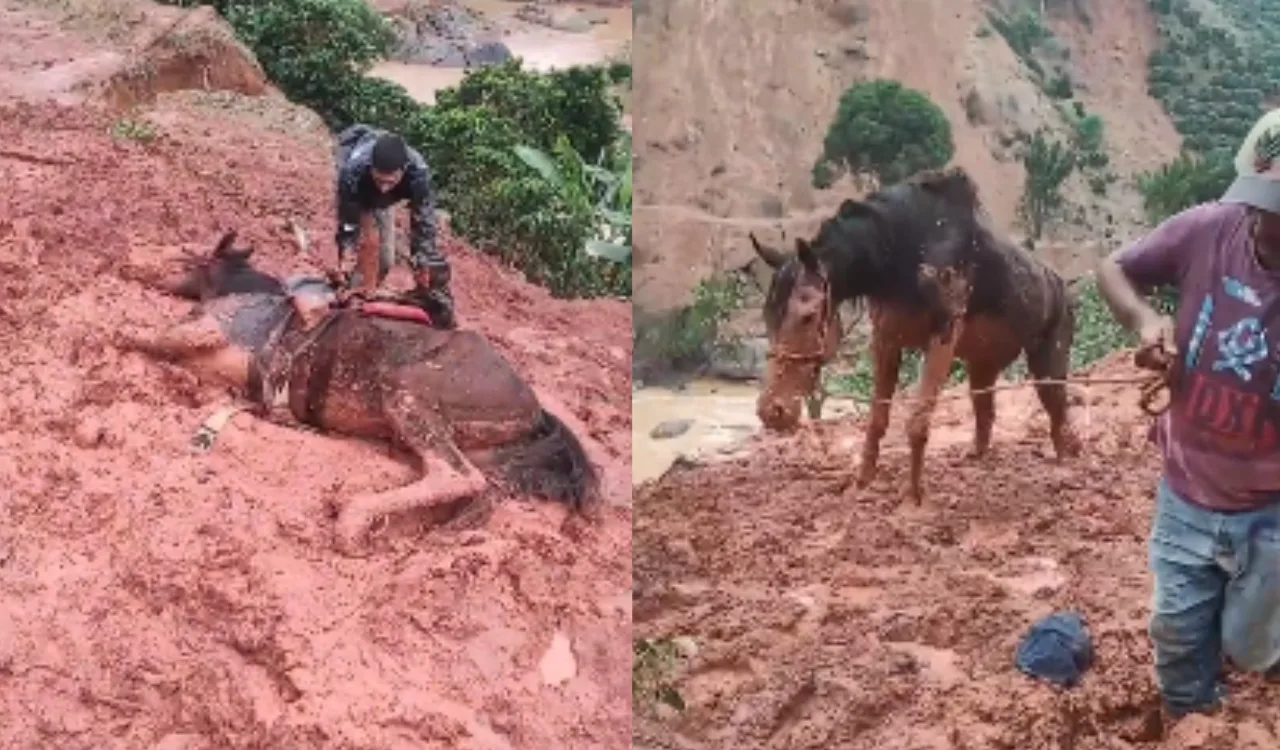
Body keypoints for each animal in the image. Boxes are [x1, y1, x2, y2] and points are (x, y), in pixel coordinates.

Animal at [115, 230, 599, 552]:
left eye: (182, 254)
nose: (125, 254)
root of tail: (537, 412)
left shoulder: (208, 332)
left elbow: (139, 337)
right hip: (475, 447)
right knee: (480, 492)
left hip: (406, 392)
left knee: (456, 475)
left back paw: (354, 520)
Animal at [747, 167, 1080, 501]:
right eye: (766, 315)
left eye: (807, 316)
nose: (771, 411)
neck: (893, 258)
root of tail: (1062, 286)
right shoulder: (886, 338)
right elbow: (877, 419)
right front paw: (862, 483)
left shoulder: (943, 334)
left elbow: (917, 425)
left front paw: (913, 497)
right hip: (982, 364)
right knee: (986, 412)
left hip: (1049, 358)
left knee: (1058, 413)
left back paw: (1067, 466)